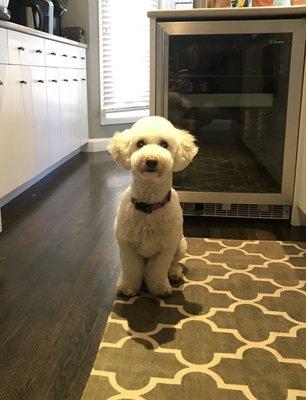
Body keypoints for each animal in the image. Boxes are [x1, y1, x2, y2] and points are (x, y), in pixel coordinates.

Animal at [108, 115, 198, 296]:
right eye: (140, 143)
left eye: (164, 144)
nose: (151, 160)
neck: (149, 206)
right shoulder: (127, 248)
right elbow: (131, 270)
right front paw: (128, 287)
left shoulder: (166, 249)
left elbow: (158, 270)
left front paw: (160, 288)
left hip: (181, 245)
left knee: (174, 263)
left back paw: (174, 273)